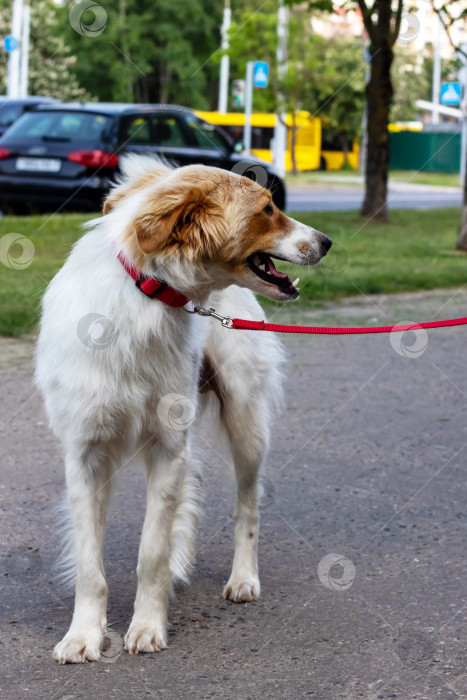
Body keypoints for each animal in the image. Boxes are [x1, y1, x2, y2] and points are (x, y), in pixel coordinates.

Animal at [34, 156, 330, 664]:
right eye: (267, 210)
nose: (328, 241)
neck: (146, 294)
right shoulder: (84, 452)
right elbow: (91, 564)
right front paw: (84, 635)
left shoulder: (166, 445)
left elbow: (150, 552)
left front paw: (147, 626)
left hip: (247, 425)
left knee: (248, 507)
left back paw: (243, 578)